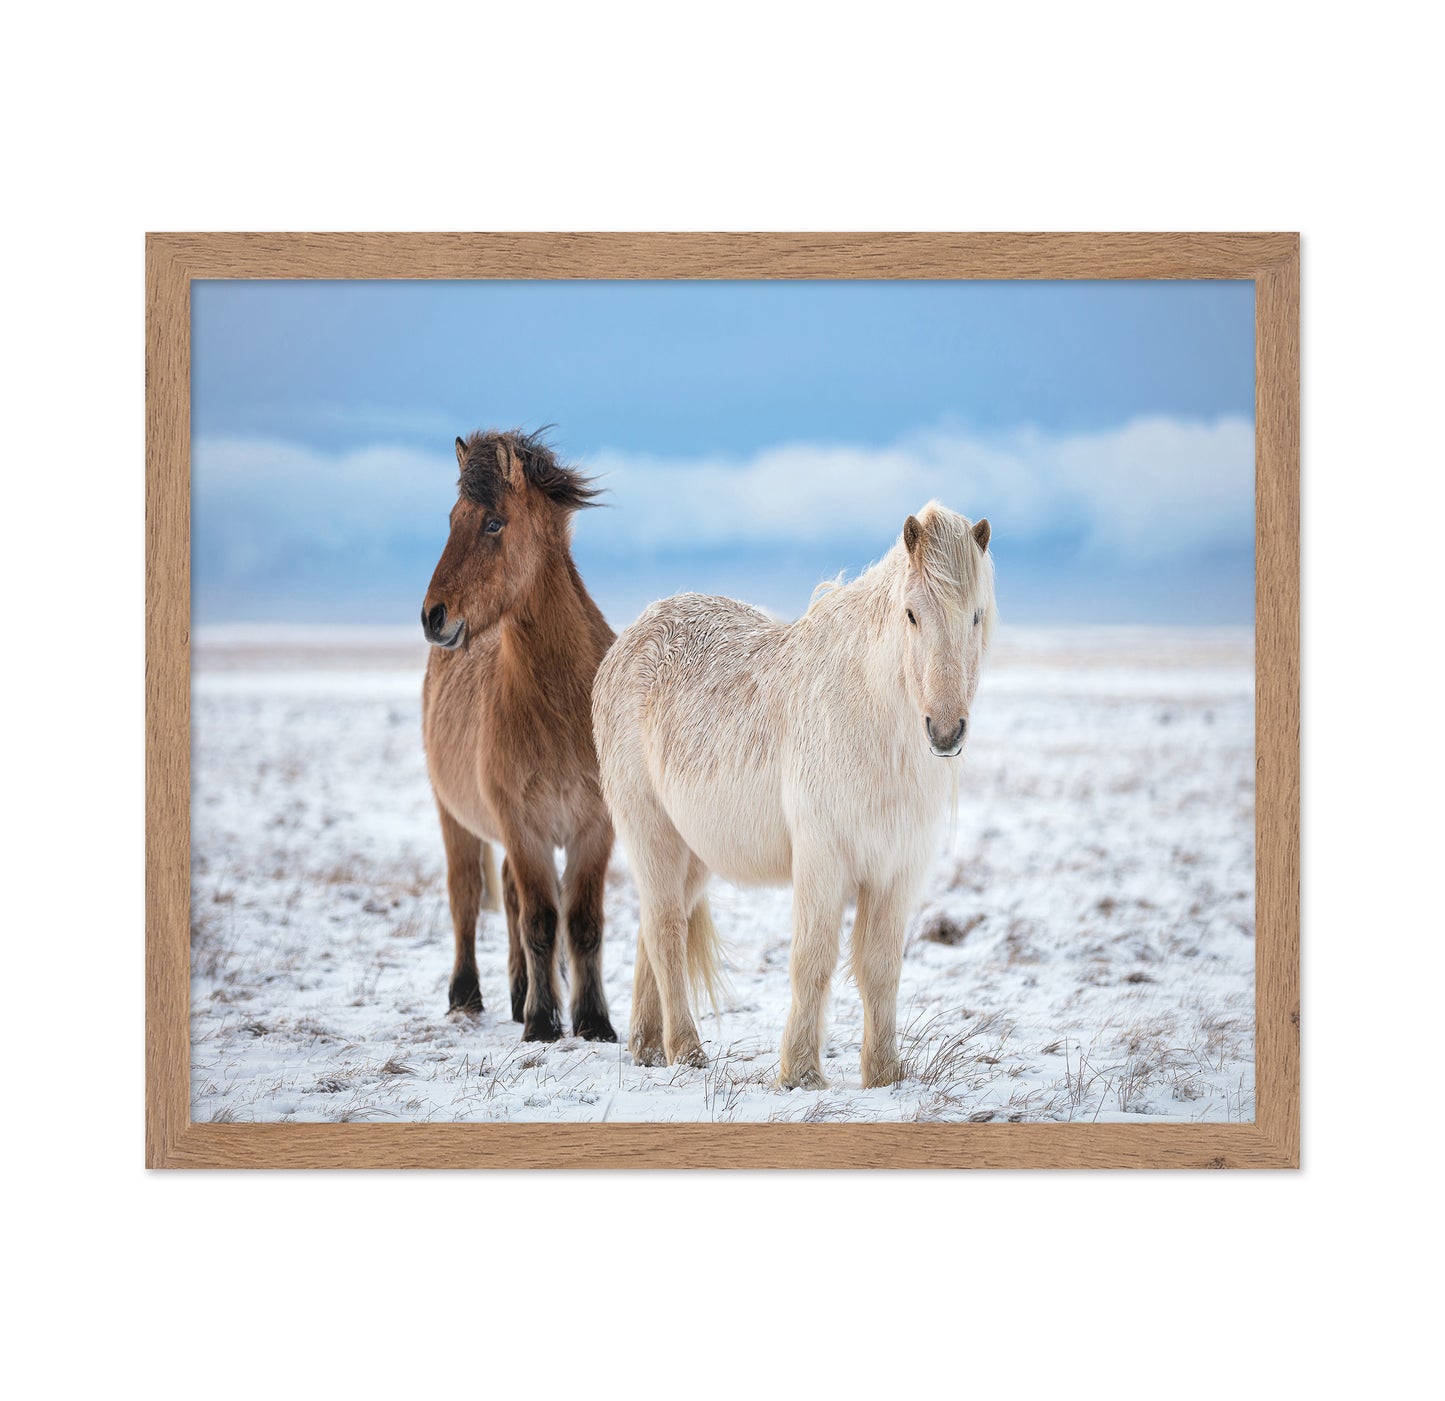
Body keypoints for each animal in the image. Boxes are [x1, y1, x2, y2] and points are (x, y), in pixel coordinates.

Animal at [420, 429, 619, 1043]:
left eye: (492, 523)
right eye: (451, 518)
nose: (433, 616)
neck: (560, 707)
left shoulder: (594, 828)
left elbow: (582, 923)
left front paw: (594, 1021)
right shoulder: (522, 826)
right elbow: (539, 920)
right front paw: (542, 1023)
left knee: (507, 897)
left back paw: (517, 991)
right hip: (455, 817)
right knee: (467, 897)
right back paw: (468, 995)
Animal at [592, 502, 995, 1088]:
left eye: (976, 616)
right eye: (911, 614)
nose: (945, 731)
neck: (869, 715)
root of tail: (627, 641)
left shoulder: (897, 870)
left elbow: (881, 967)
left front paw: (884, 1074)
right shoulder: (823, 859)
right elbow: (813, 959)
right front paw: (801, 1072)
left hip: (695, 852)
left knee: (656, 926)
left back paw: (647, 1048)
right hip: (651, 831)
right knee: (666, 931)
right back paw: (687, 1052)